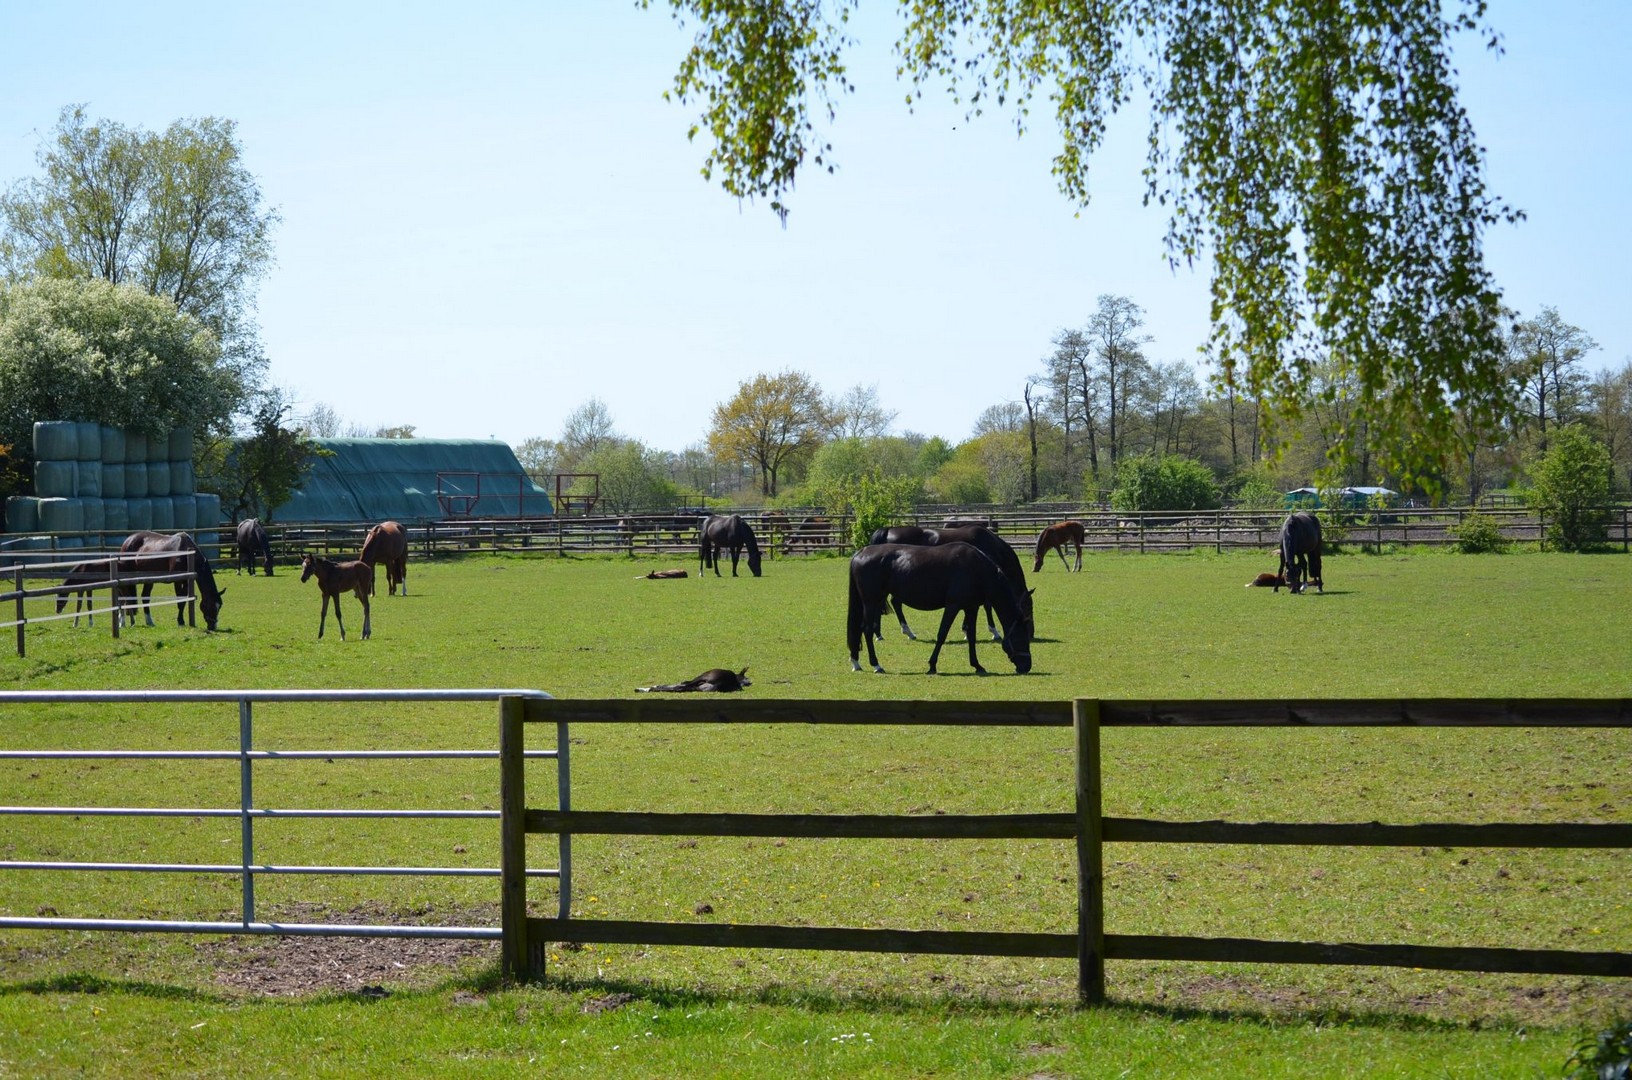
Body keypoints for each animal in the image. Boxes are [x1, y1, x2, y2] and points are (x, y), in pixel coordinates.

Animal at [847, 542, 1033, 675]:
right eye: (1021, 638)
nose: (1027, 666)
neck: (977, 570)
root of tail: (860, 553)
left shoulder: (971, 608)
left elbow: (971, 636)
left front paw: (977, 665)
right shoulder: (953, 606)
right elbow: (942, 634)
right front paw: (932, 665)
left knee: (861, 629)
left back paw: (856, 662)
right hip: (871, 602)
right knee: (867, 630)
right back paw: (876, 665)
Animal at [867, 525, 1033, 642]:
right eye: (1028, 607)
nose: (1031, 633)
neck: (989, 545)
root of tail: (889, 530)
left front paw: (966, 630)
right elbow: (987, 605)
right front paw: (994, 632)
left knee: (885, 603)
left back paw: (882, 634)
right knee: (891, 603)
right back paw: (901, 632)